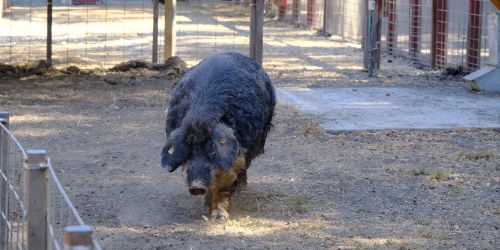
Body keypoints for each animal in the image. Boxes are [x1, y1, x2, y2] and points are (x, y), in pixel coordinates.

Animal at [161, 51, 276, 220]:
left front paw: (219, 218)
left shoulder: (239, 151)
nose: (196, 187)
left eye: (211, 150)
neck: (200, 118)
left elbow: (227, 178)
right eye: (189, 150)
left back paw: (243, 188)